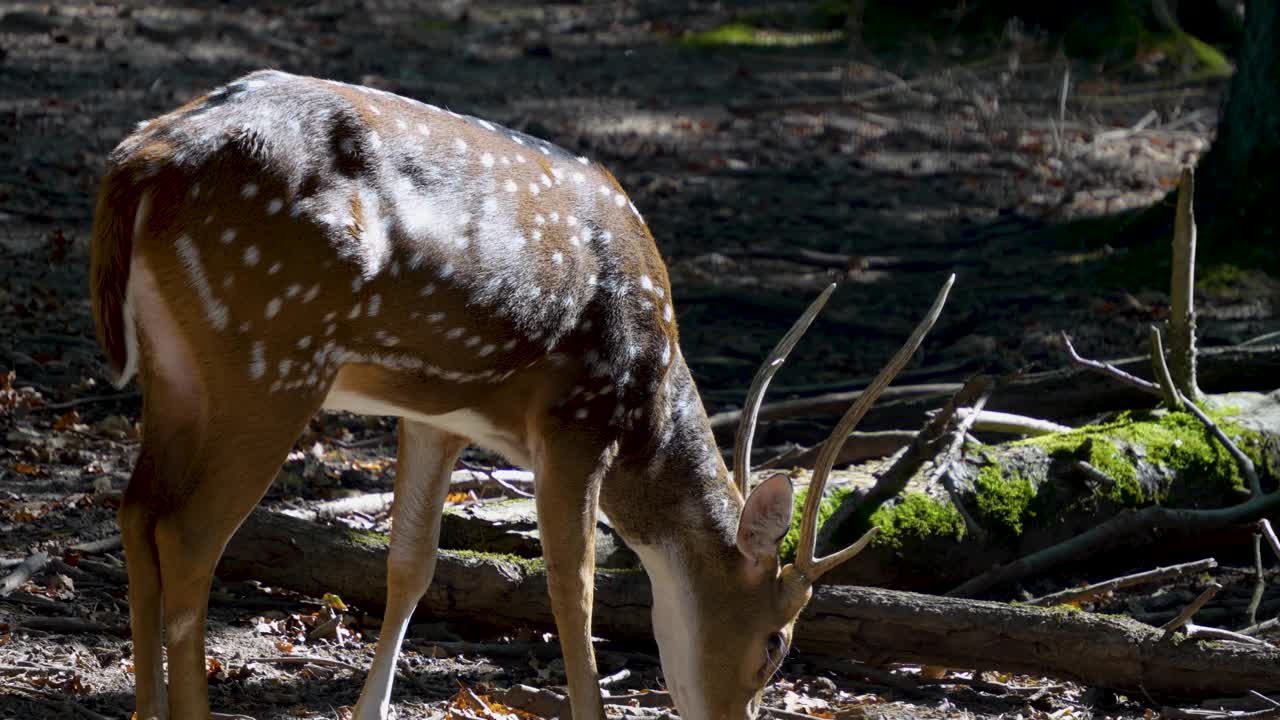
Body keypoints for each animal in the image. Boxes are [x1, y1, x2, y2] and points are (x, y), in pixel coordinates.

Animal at [90, 68, 952, 717]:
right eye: (777, 644)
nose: (733, 715)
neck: (648, 404)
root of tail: (141, 159)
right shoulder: (577, 418)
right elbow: (574, 588)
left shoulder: (436, 414)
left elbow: (412, 564)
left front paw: (372, 708)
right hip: (270, 356)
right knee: (188, 534)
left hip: (178, 369)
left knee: (135, 510)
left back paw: (143, 710)